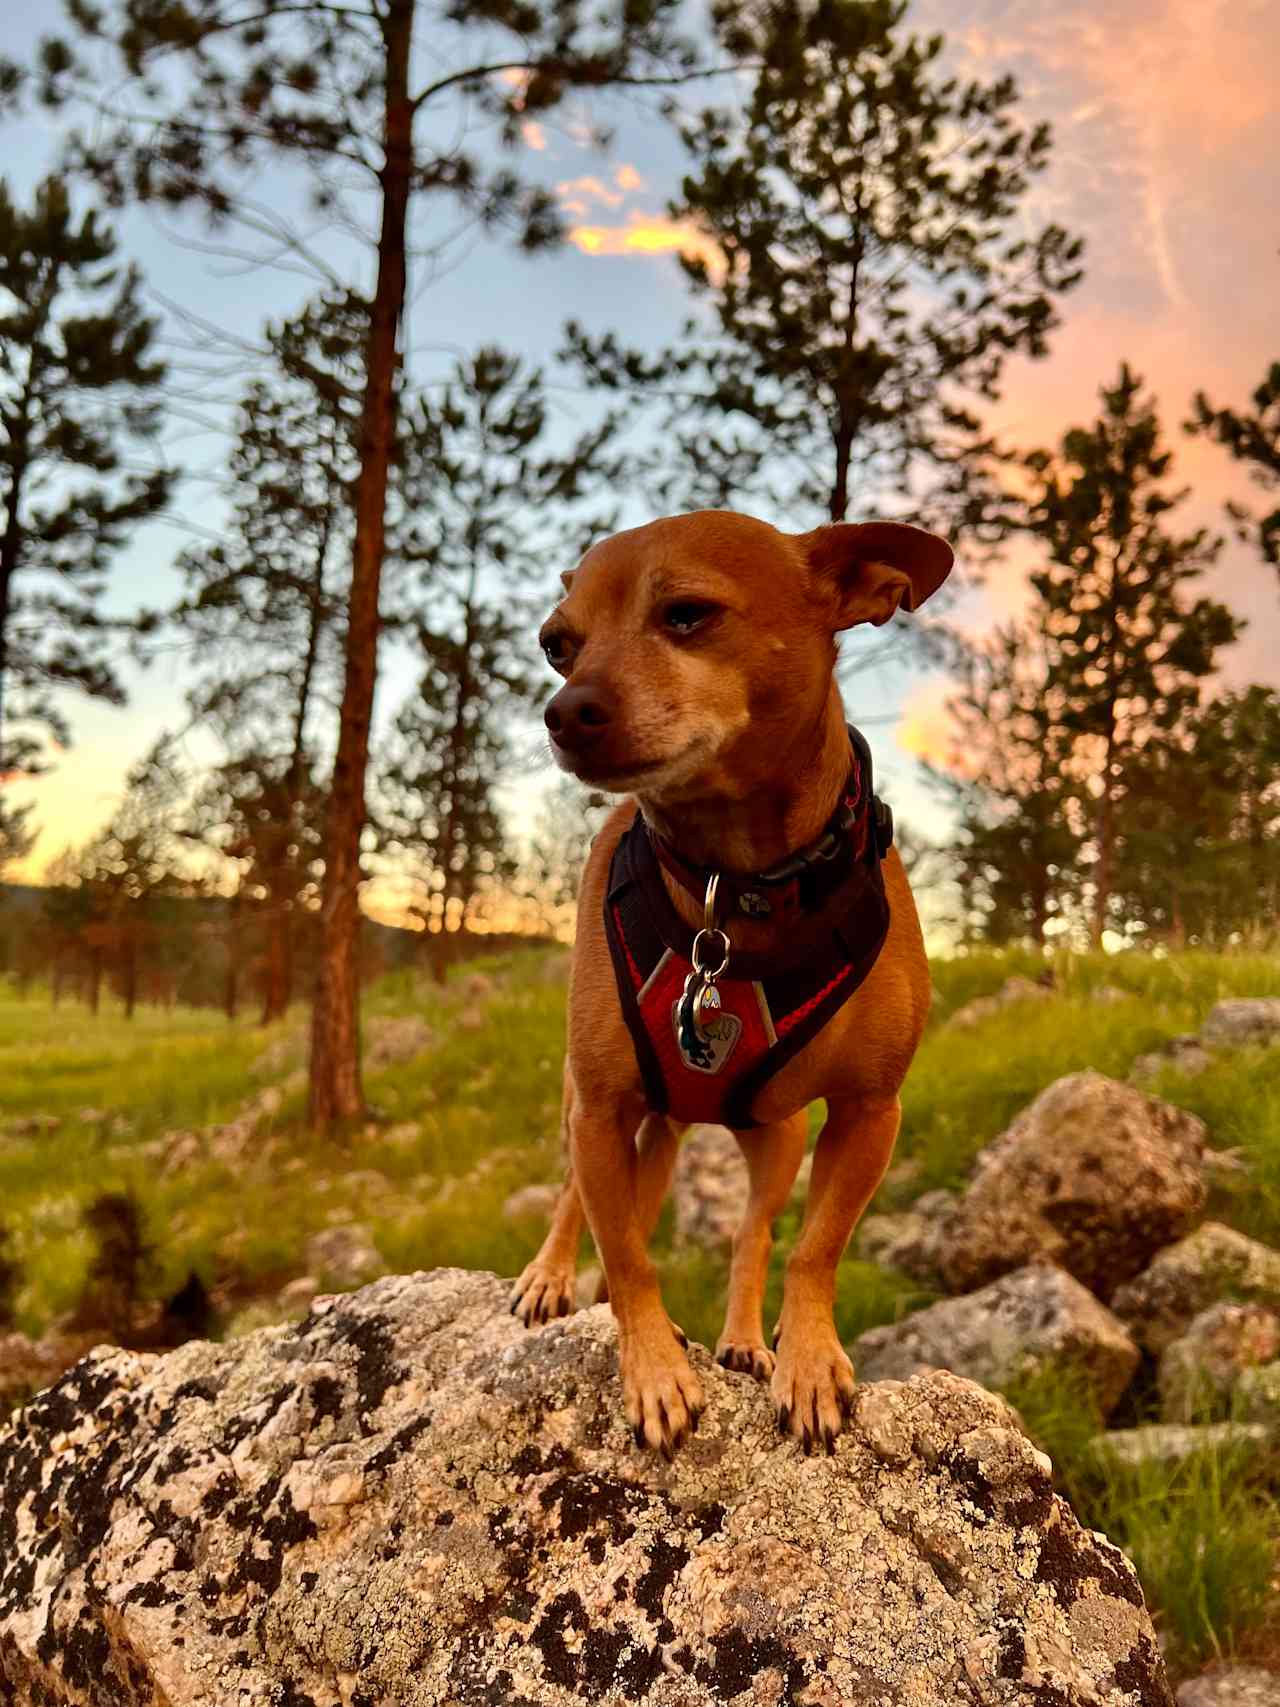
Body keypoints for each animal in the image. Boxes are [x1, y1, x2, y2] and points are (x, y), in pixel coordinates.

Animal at [512, 505, 955, 1454]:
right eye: (557, 644)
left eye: (687, 614)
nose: (565, 712)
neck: (735, 884)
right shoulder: (599, 1111)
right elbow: (628, 1255)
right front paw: (652, 1369)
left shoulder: (870, 1113)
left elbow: (813, 1249)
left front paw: (810, 1360)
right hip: (590, 1107)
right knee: (580, 1204)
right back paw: (550, 1275)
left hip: (773, 1142)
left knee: (752, 1236)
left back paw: (748, 1341)